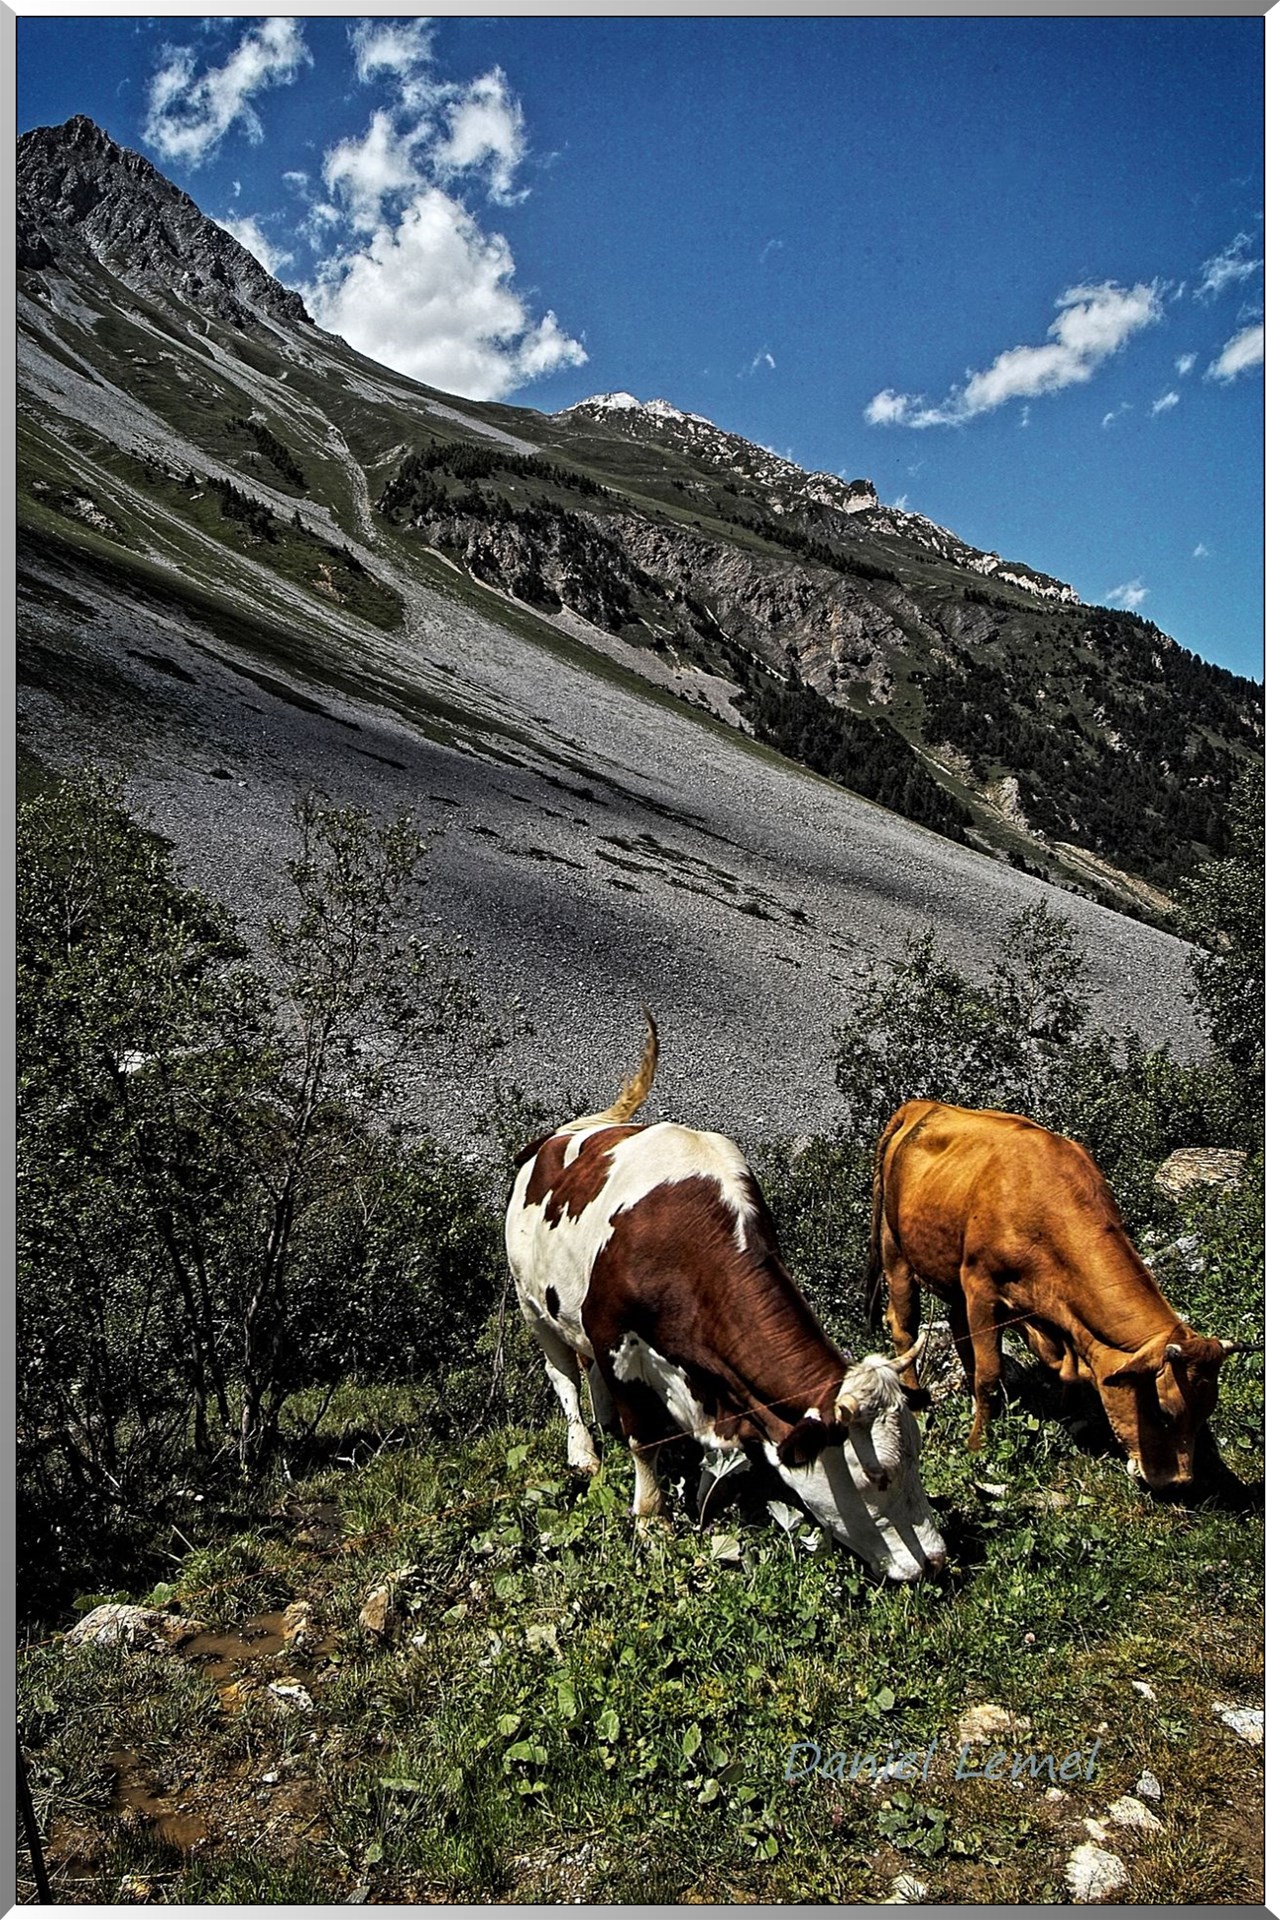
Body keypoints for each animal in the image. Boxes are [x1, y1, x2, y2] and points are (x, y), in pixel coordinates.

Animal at [505, 1014, 947, 1583]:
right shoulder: (615, 1342)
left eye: (917, 1456)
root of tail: (566, 1131)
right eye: (879, 1477)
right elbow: (644, 1439)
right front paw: (651, 1522)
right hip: (533, 1305)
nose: (936, 1559)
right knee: (561, 1374)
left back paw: (602, 1421)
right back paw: (583, 1450)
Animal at [865, 1099, 1252, 1492]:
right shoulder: (982, 1289)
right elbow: (990, 1375)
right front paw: (977, 1444)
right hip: (895, 1249)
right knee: (904, 1327)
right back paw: (915, 1402)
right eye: (1163, 1410)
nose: (1179, 1482)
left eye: (1206, 1411)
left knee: (959, 1331)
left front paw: (1072, 1413)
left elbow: (1064, 1369)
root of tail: (921, 1105)